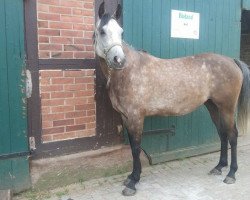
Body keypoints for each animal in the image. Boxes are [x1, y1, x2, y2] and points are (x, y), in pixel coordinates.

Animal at [94, 1, 250, 195]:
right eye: (102, 31)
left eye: (121, 32)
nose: (118, 60)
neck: (128, 71)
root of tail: (232, 61)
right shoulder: (126, 117)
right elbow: (132, 147)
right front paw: (130, 177)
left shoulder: (136, 117)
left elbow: (136, 148)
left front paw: (133, 182)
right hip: (214, 107)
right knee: (223, 134)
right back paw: (219, 167)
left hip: (227, 107)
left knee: (233, 135)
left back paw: (231, 174)